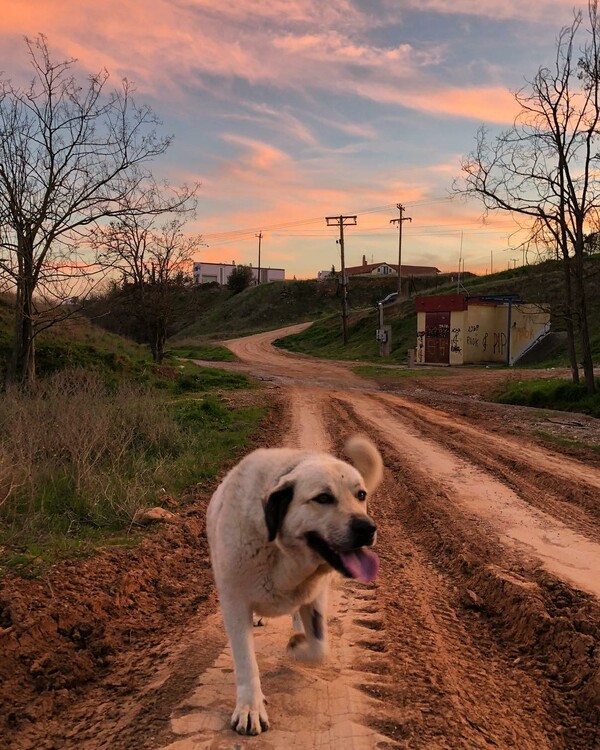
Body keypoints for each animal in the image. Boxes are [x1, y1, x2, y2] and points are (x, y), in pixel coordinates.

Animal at [207, 438, 384, 736]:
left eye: (361, 495)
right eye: (323, 498)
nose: (367, 528)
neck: (279, 547)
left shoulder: (315, 595)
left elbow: (319, 647)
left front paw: (298, 646)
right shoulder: (234, 602)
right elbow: (246, 663)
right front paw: (250, 708)